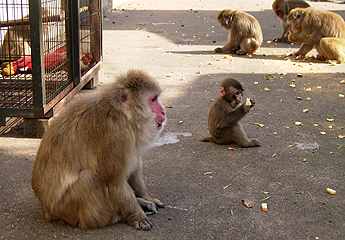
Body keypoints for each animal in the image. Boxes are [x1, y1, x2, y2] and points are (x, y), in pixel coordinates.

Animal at [31, 69, 166, 231]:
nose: (163, 112)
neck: (123, 113)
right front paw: (137, 215)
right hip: (66, 209)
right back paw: (118, 215)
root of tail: (46, 209)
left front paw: (146, 197)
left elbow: (134, 170)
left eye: (156, 98)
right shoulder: (115, 134)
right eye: (152, 100)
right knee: (88, 179)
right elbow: (115, 182)